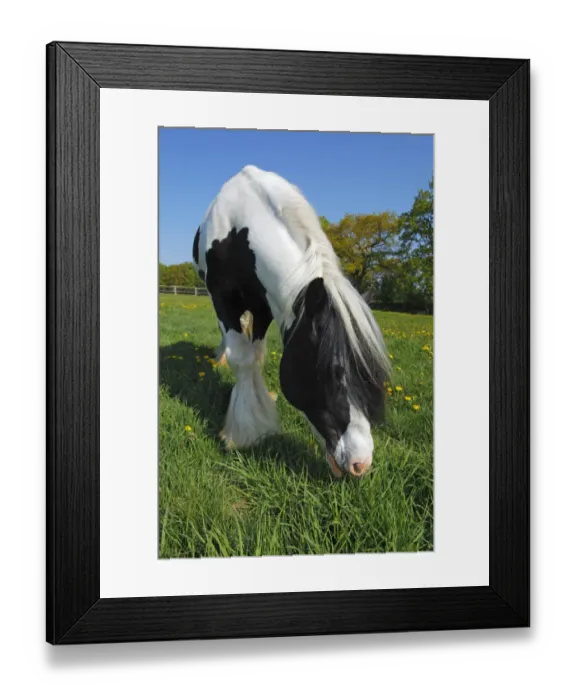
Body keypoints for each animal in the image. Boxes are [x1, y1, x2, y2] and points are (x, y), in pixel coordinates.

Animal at [192, 165, 391, 478]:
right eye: (332, 373)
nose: (361, 463)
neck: (237, 234)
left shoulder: (264, 306)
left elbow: (255, 356)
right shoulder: (224, 299)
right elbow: (243, 359)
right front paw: (245, 431)